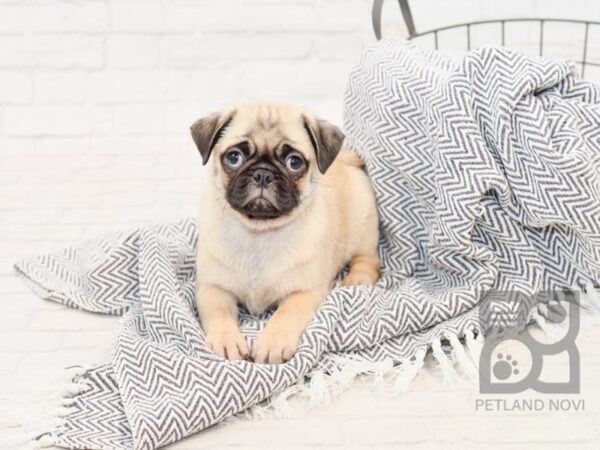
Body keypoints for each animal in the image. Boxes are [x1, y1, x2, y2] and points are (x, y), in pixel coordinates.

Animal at [191, 103, 380, 366]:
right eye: (234, 157)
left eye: (294, 162)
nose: (263, 174)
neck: (258, 234)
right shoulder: (213, 288)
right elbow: (219, 315)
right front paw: (226, 340)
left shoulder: (303, 292)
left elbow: (286, 315)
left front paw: (273, 343)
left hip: (365, 231)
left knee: (368, 260)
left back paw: (357, 278)